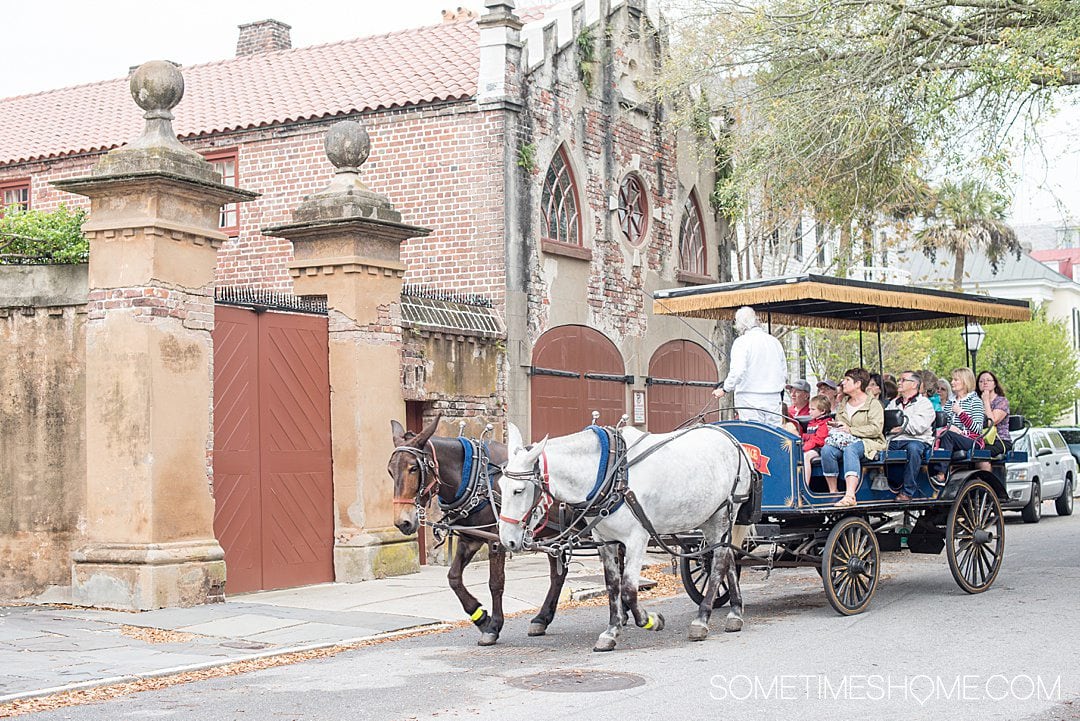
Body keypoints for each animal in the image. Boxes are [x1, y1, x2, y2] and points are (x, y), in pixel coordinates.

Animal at [496, 423, 751, 651]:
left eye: (518, 490)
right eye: (500, 484)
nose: (507, 540)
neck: (610, 475)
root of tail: (731, 439)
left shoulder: (637, 539)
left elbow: (628, 589)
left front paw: (651, 621)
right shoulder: (606, 541)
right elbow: (612, 585)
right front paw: (612, 630)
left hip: (724, 514)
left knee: (718, 564)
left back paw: (702, 619)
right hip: (709, 520)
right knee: (727, 558)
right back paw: (735, 613)